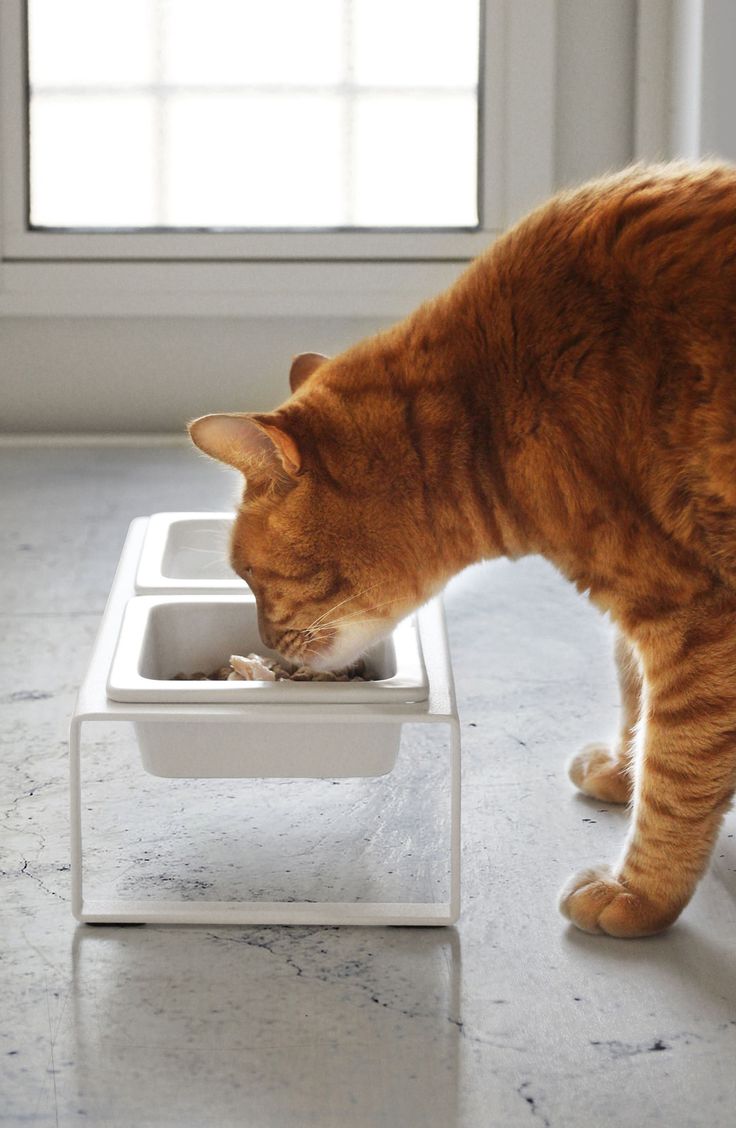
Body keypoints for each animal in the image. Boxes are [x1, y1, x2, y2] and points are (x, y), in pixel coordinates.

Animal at [190, 159, 736, 933]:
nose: (264, 644)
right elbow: (637, 693)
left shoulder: (695, 616)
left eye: (248, 575)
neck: (496, 404)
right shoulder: (654, 605)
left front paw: (640, 893)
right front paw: (625, 772)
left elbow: (680, 765)